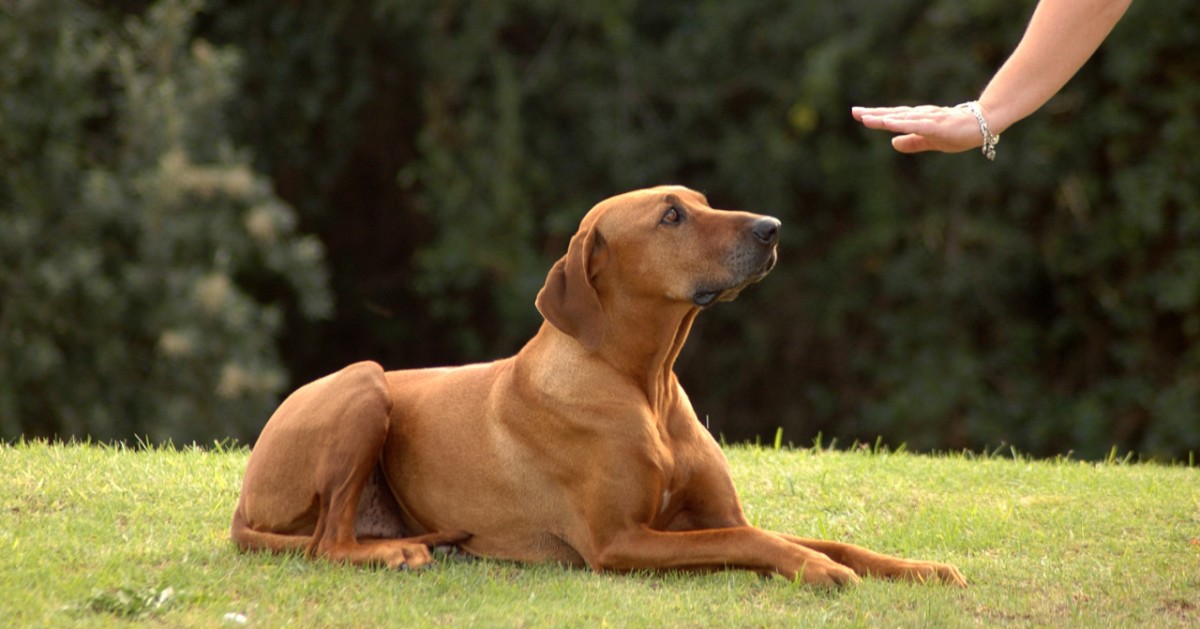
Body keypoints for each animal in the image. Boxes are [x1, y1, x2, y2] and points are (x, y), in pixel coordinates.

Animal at [231, 184, 964, 588]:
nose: (772, 228)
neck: (644, 385)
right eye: (671, 217)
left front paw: (919, 568)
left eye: (702, 202)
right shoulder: (619, 541)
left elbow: (822, 538)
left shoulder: (718, 514)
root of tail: (243, 499)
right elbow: (754, 543)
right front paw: (818, 571)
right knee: (327, 542)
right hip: (365, 383)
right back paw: (398, 553)